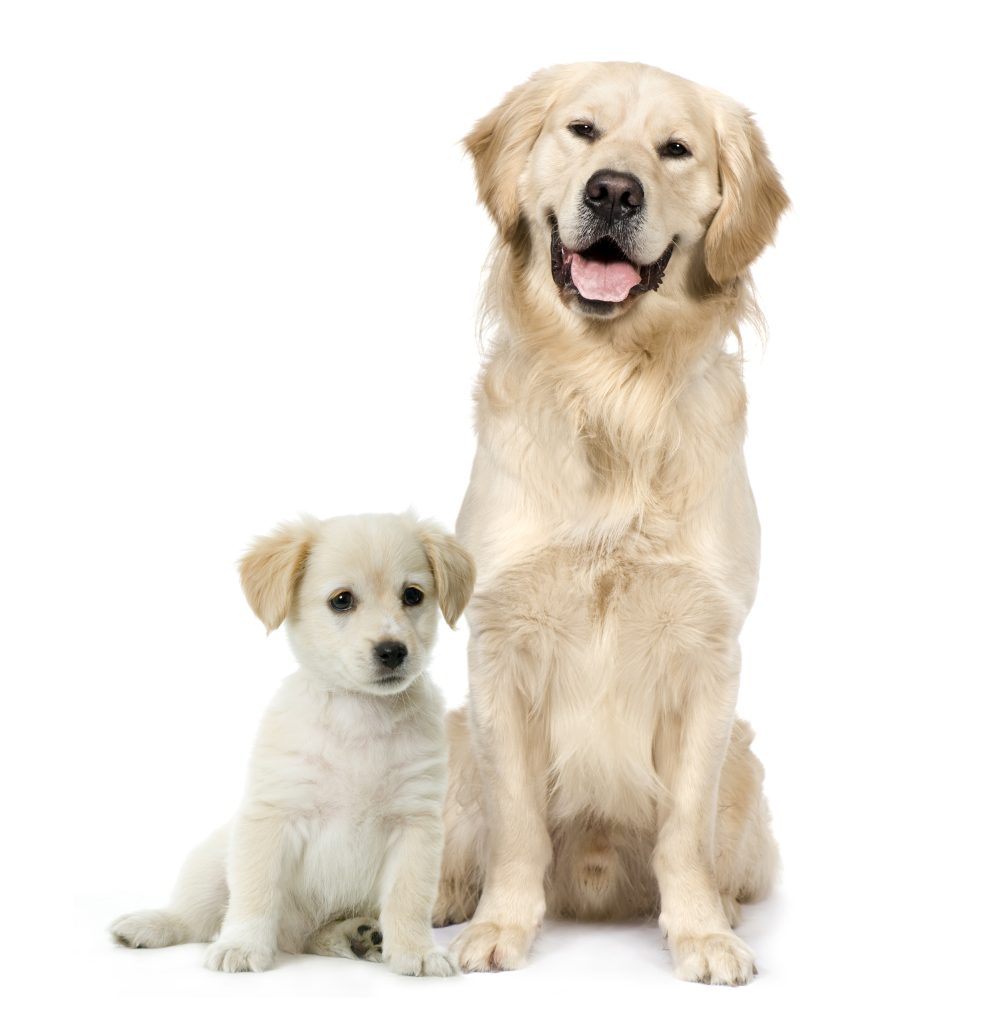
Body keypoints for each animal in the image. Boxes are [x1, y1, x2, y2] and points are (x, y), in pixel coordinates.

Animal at [111, 512, 479, 974]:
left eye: (412, 595)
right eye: (342, 600)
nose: (392, 651)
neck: (359, 714)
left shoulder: (416, 825)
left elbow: (408, 899)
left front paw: (416, 951)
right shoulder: (273, 817)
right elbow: (255, 892)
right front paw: (243, 946)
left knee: (315, 937)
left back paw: (361, 935)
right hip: (212, 861)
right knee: (196, 915)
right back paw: (151, 924)